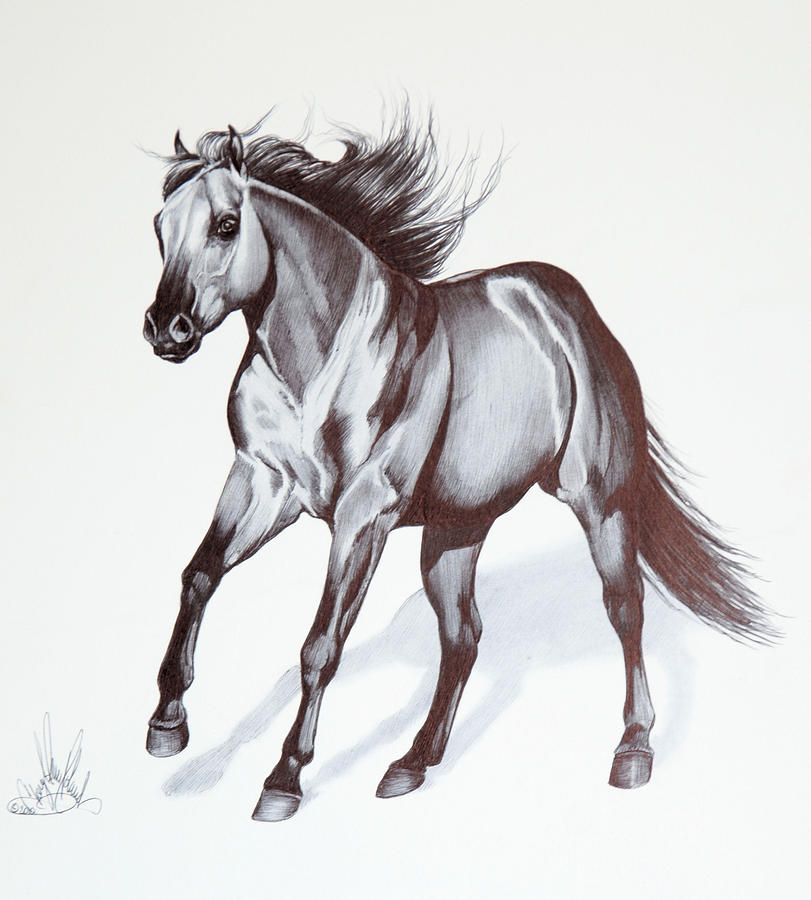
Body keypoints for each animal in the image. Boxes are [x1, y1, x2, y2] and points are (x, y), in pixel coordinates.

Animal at [142, 114, 775, 822]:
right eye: (160, 228)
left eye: (226, 224)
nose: (165, 329)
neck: (326, 359)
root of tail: (567, 311)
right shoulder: (261, 483)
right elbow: (198, 577)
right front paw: (167, 724)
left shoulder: (362, 515)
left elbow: (320, 646)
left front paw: (283, 781)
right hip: (455, 531)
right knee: (463, 635)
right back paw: (411, 764)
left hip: (600, 503)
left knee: (625, 608)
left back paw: (633, 750)